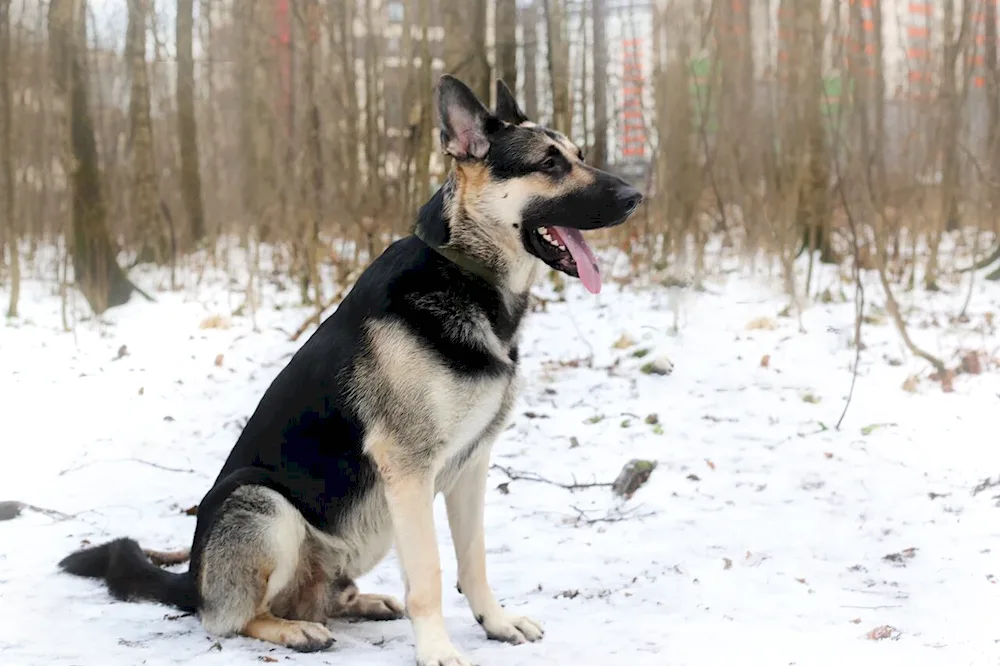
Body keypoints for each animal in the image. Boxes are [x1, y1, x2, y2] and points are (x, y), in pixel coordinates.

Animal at [58, 74, 644, 664]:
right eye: (549, 163)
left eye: (579, 156)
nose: (636, 197)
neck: (466, 272)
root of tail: (194, 580)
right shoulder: (408, 471)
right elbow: (430, 574)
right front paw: (437, 648)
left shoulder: (471, 468)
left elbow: (473, 560)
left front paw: (495, 623)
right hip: (262, 503)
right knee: (231, 617)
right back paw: (290, 629)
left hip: (368, 531)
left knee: (324, 597)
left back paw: (362, 602)